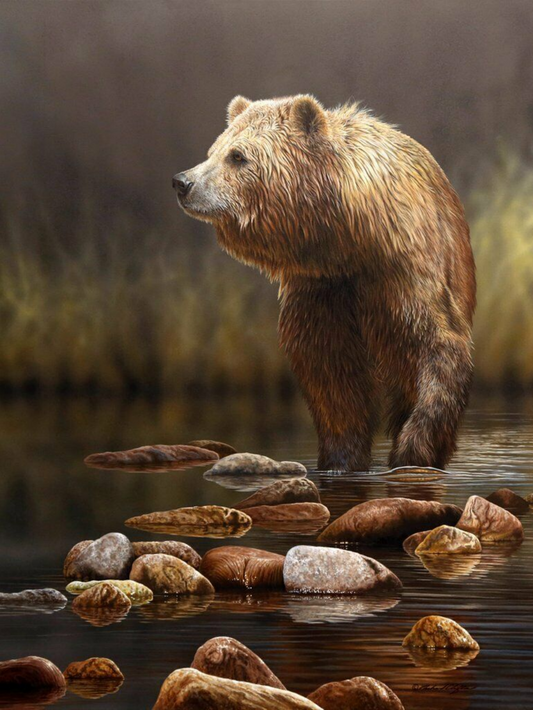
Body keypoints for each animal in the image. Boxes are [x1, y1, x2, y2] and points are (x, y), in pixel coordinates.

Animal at [173, 95, 476, 472]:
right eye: (213, 150)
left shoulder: (402, 272)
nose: (183, 182)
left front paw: (412, 449)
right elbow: (329, 369)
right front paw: (341, 457)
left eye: (237, 156)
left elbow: (436, 347)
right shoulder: (322, 287)